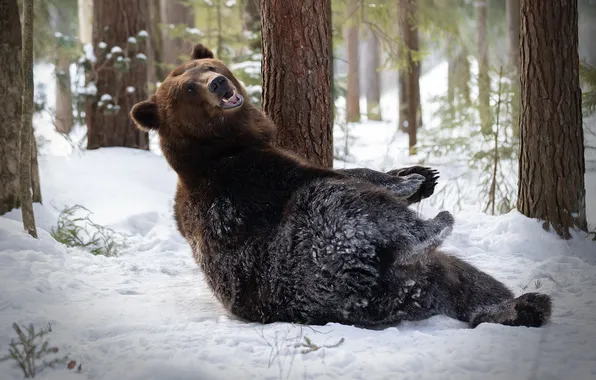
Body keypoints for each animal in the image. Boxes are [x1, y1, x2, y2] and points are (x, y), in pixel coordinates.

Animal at [129, 44, 548, 328]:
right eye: (187, 88)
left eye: (208, 66)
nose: (217, 83)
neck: (222, 146)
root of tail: (374, 286)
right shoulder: (251, 179)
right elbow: (342, 175)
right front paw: (410, 180)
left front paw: (423, 174)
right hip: (319, 247)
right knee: (351, 205)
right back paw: (434, 225)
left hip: (429, 276)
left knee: (472, 283)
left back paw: (523, 305)